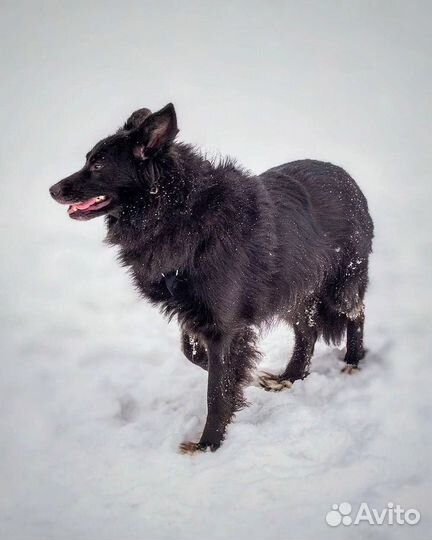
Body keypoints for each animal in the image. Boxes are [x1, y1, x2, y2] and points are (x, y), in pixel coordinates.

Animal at [50, 103, 372, 454]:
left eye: (97, 165)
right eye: (87, 159)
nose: (52, 190)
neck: (178, 210)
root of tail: (350, 182)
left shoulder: (224, 324)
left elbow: (216, 391)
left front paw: (209, 445)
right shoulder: (195, 312)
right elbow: (193, 354)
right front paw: (238, 375)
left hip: (340, 285)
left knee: (356, 313)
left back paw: (352, 363)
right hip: (294, 291)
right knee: (308, 331)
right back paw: (290, 377)